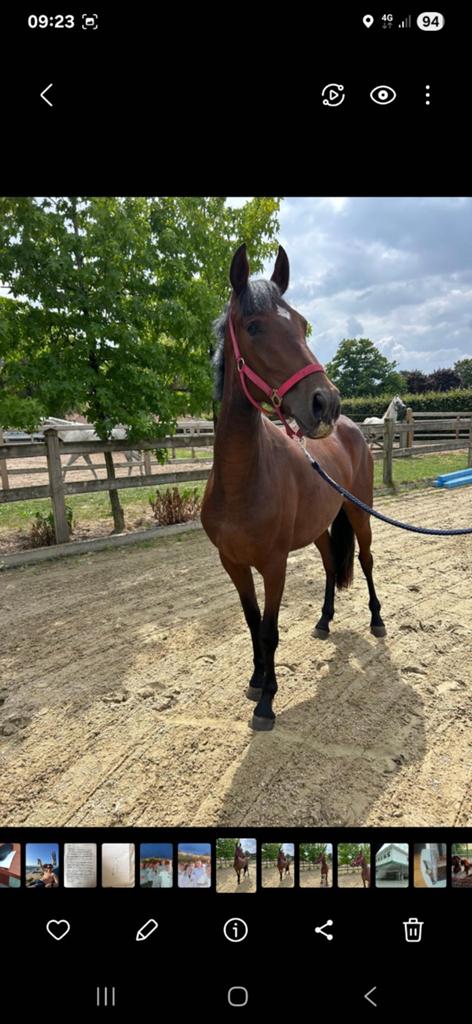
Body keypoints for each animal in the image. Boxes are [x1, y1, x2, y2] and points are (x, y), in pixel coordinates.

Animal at [201, 243, 386, 732]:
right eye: (254, 326)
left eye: (302, 324)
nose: (326, 402)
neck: (242, 480)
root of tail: (353, 428)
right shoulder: (233, 563)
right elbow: (251, 623)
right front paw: (255, 681)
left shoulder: (274, 564)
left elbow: (269, 630)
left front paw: (267, 702)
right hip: (321, 527)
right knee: (330, 565)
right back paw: (323, 621)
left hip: (359, 514)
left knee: (365, 562)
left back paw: (378, 620)